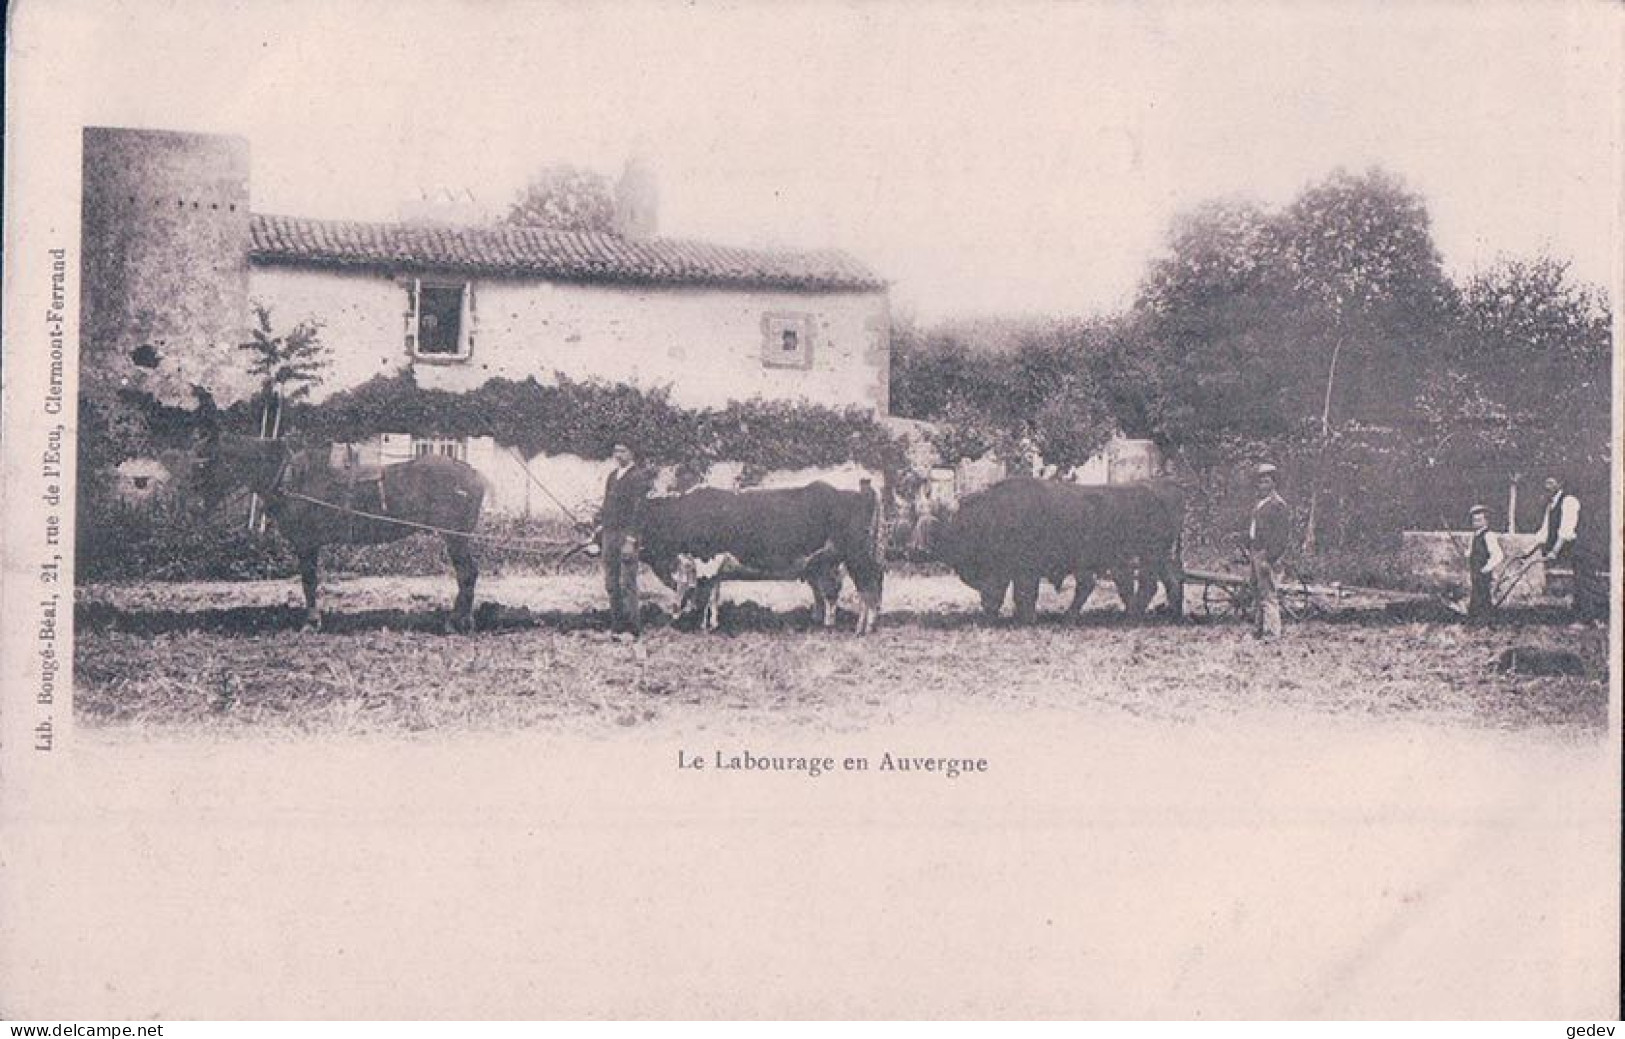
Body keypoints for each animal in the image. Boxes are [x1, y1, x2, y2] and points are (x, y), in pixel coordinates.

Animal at [198, 432, 487, 630]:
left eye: (205, 463)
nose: (200, 504)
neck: (293, 477)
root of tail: (473, 473)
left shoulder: (306, 542)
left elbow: (309, 581)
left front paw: (311, 622)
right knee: (467, 574)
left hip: (456, 538)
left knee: (467, 574)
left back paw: (457, 622)